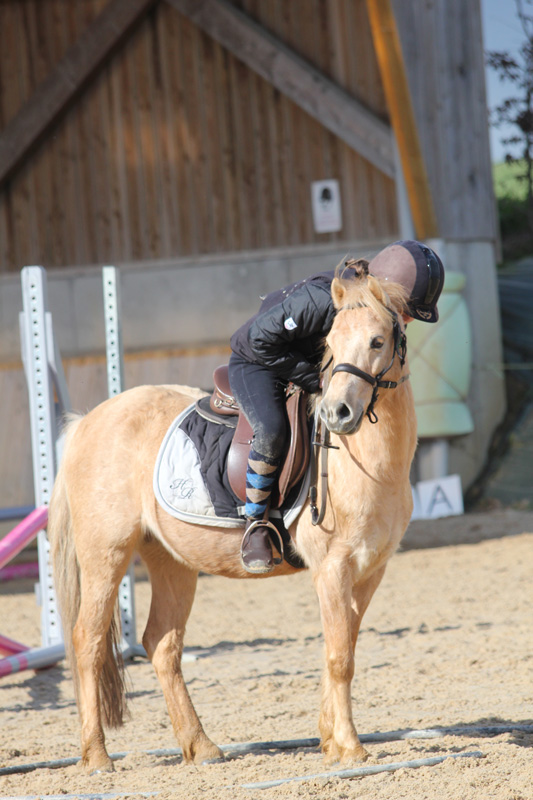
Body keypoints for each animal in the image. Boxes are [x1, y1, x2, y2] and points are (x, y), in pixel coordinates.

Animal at [48, 270, 416, 776]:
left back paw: (201, 747)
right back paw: (98, 756)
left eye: (378, 341)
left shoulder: (370, 570)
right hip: (106, 554)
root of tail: (87, 422)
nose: (336, 413)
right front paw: (351, 747)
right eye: (330, 345)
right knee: (88, 640)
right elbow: (339, 656)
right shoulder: (332, 569)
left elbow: (343, 649)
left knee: (161, 644)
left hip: (171, 561)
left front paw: (330, 741)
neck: (368, 461)